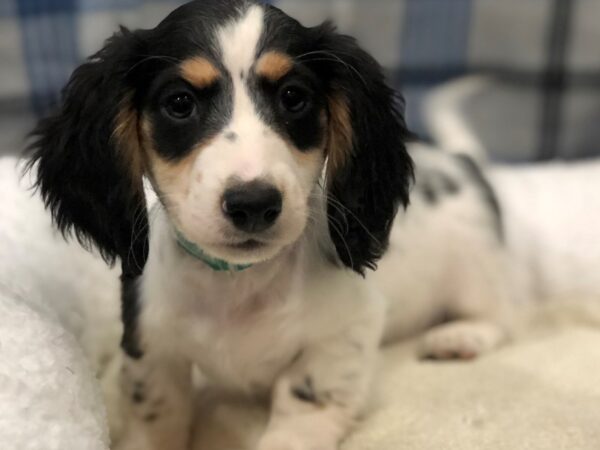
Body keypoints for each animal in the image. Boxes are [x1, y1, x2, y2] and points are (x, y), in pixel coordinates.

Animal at [27, 0, 516, 450]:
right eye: (179, 103)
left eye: (294, 97)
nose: (254, 203)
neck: (237, 283)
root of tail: (461, 162)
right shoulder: (150, 341)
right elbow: (158, 408)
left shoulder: (344, 331)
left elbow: (304, 398)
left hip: (478, 272)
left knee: (500, 316)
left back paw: (460, 336)